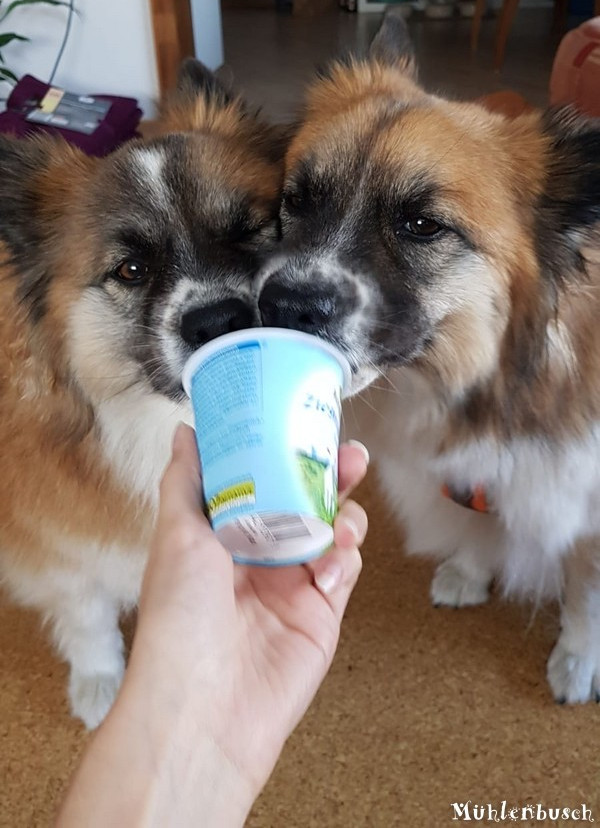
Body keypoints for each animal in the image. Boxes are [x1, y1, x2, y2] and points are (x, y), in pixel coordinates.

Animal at [0, 61, 284, 728]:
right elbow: (85, 610)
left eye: (248, 232)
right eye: (131, 271)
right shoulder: (53, 542)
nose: (219, 321)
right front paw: (101, 681)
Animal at [258, 9, 600, 700]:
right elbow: (473, 519)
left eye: (421, 225)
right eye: (297, 200)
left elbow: (584, 590)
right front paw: (469, 570)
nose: (279, 304)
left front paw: (578, 658)